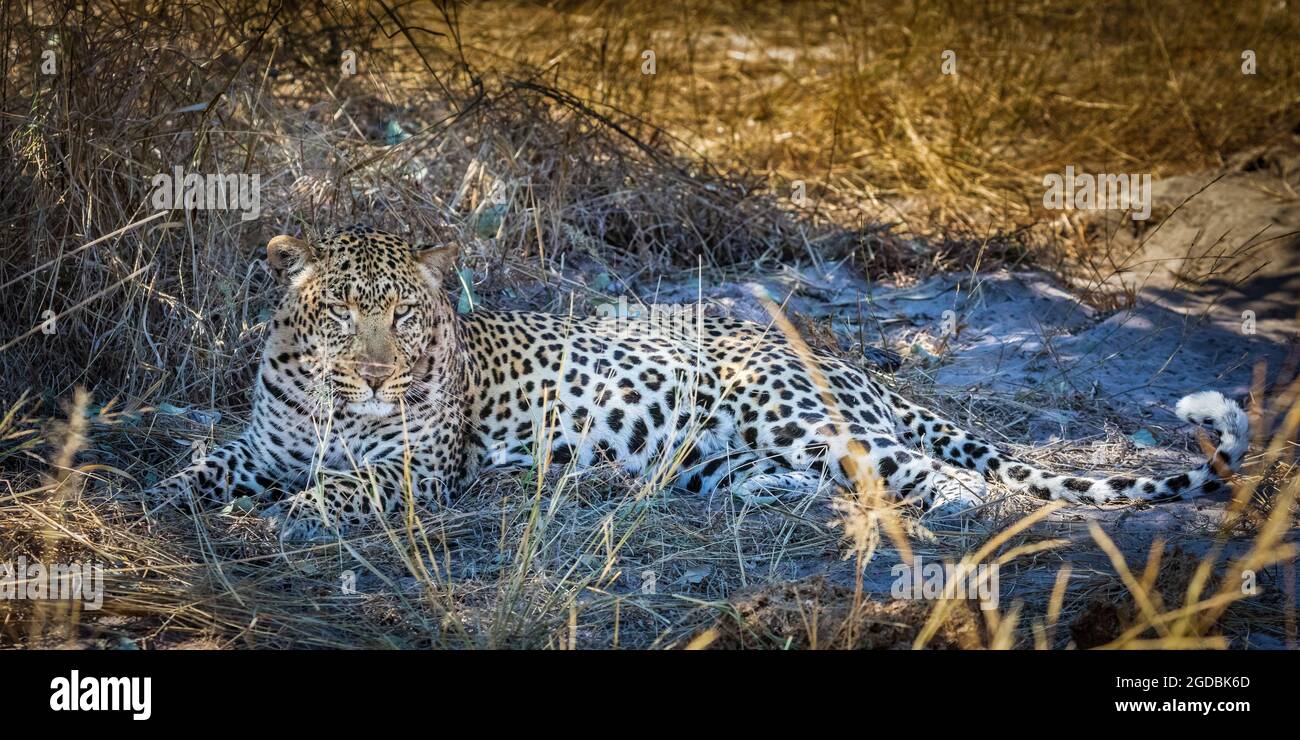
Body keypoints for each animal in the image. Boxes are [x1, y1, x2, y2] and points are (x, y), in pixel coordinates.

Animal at [149, 225, 1250, 540]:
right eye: (344, 316)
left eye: (407, 319)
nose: (380, 373)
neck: (330, 405)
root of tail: (837, 358)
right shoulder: (263, 441)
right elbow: (207, 462)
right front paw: (160, 498)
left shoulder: (420, 464)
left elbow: (346, 484)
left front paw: (291, 516)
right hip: (713, 456)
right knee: (804, 477)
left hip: (794, 410)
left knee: (949, 474)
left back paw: (949, 514)